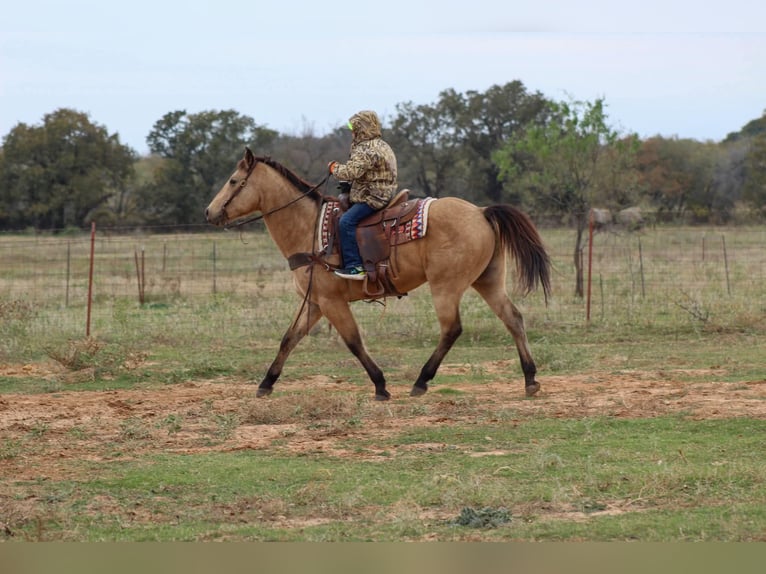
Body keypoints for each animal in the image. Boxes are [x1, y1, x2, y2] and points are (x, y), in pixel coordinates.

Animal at [205, 148, 551, 401]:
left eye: (234, 181)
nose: (209, 212)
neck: (308, 229)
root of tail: (481, 212)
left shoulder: (332, 302)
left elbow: (354, 341)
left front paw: (381, 385)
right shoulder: (315, 303)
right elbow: (289, 338)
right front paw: (266, 383)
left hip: (446, 286)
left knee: (452, 329)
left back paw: (421, 381)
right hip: (488, 281)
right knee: (513, 319)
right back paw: (530, 378)